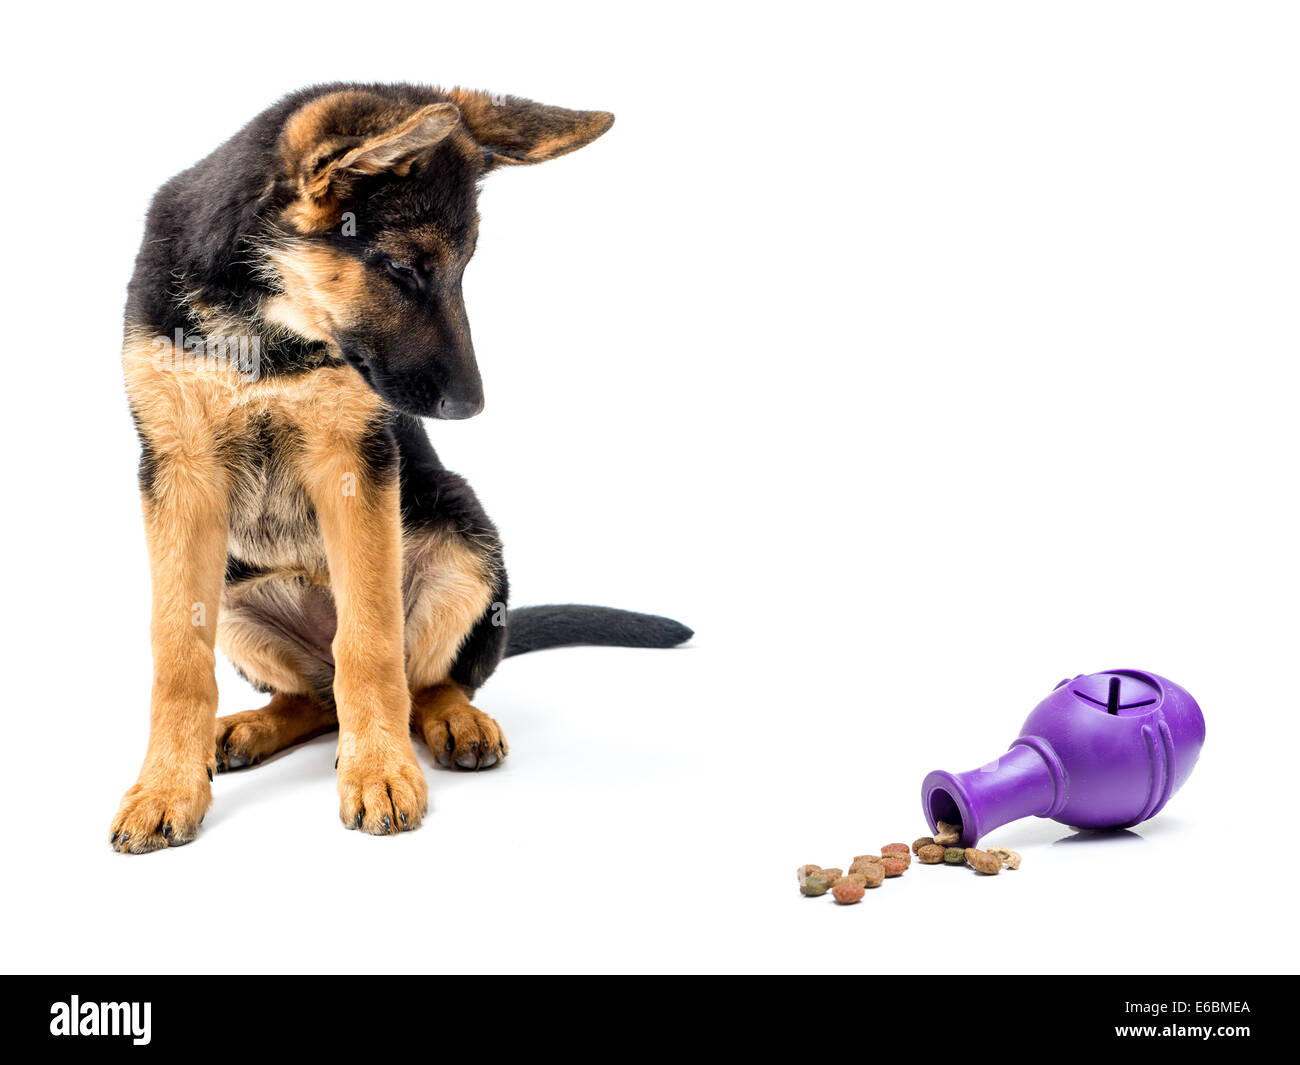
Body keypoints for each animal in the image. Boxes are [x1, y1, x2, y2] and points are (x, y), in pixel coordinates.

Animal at [114, 83, 691, 853]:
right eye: (401, 268)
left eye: (464, 266)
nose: (472, 407)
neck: (263, 323)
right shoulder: (179, 471)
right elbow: (178, 651)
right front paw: (166, 786)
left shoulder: (357, 462)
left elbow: (371, 639)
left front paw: (379, 771)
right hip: (236, 587)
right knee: (315, 697)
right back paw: (251, 727)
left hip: (465, 536)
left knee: (424, 680)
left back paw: (453, 721)